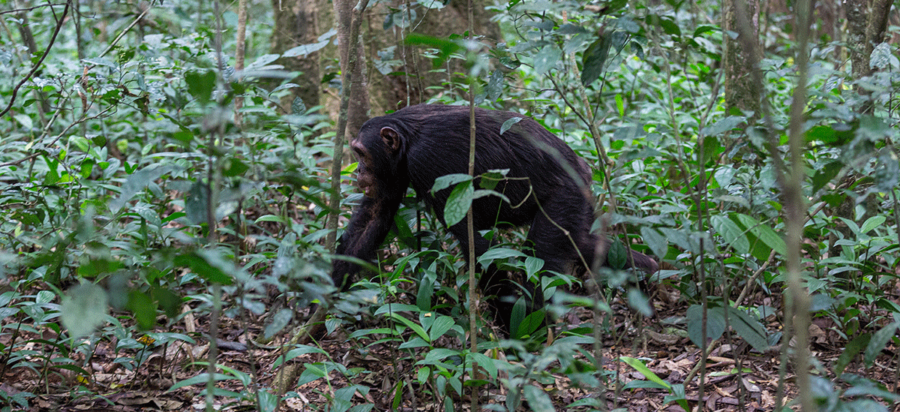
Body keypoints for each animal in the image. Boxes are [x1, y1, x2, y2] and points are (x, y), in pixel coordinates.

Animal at [334, 104, 656, 334]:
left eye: (361, 153)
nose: (358, 171)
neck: (407, 141)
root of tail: (585, 168)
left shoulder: (431, 162)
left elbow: (475, 244)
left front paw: (516, 331)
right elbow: (375, 213)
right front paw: (325, 296)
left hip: (564, 197)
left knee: (542, 253)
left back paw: (538, 329)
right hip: (579, 203)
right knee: (584, 244)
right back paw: (649, 274)